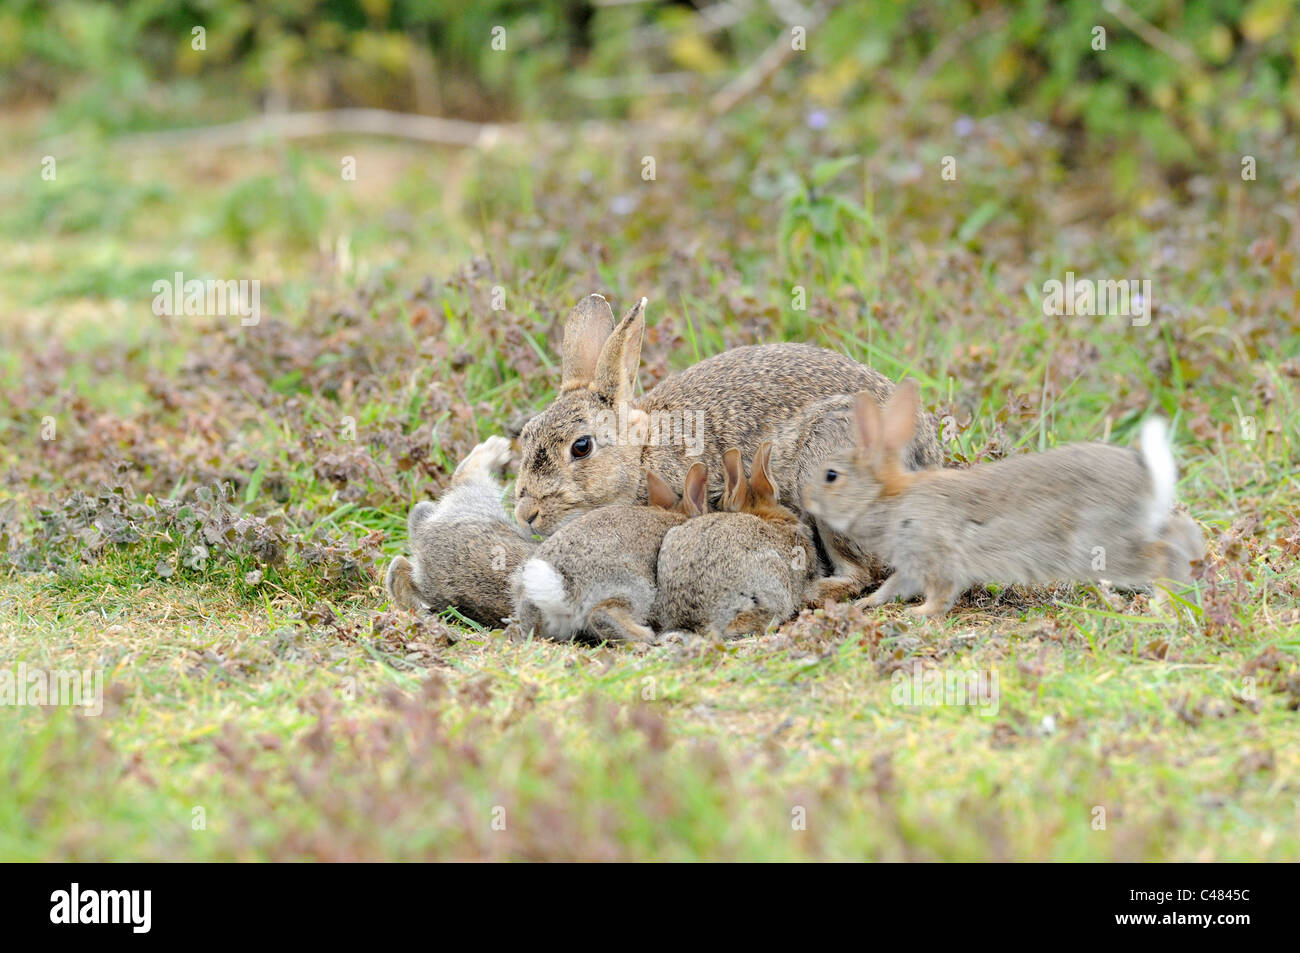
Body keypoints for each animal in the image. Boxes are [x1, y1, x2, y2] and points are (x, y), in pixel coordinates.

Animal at [800, 379, 1206, 616]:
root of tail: (1145, 477)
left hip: (1102, 546)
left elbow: (940, 594)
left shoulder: (935, 555)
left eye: (831, 475)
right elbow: (891, 587)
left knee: (1163, 553)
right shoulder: (911, 566)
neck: (886, 499)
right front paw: (867, 603)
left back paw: (1164, 602)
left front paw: (919, 615)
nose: (805, 498)